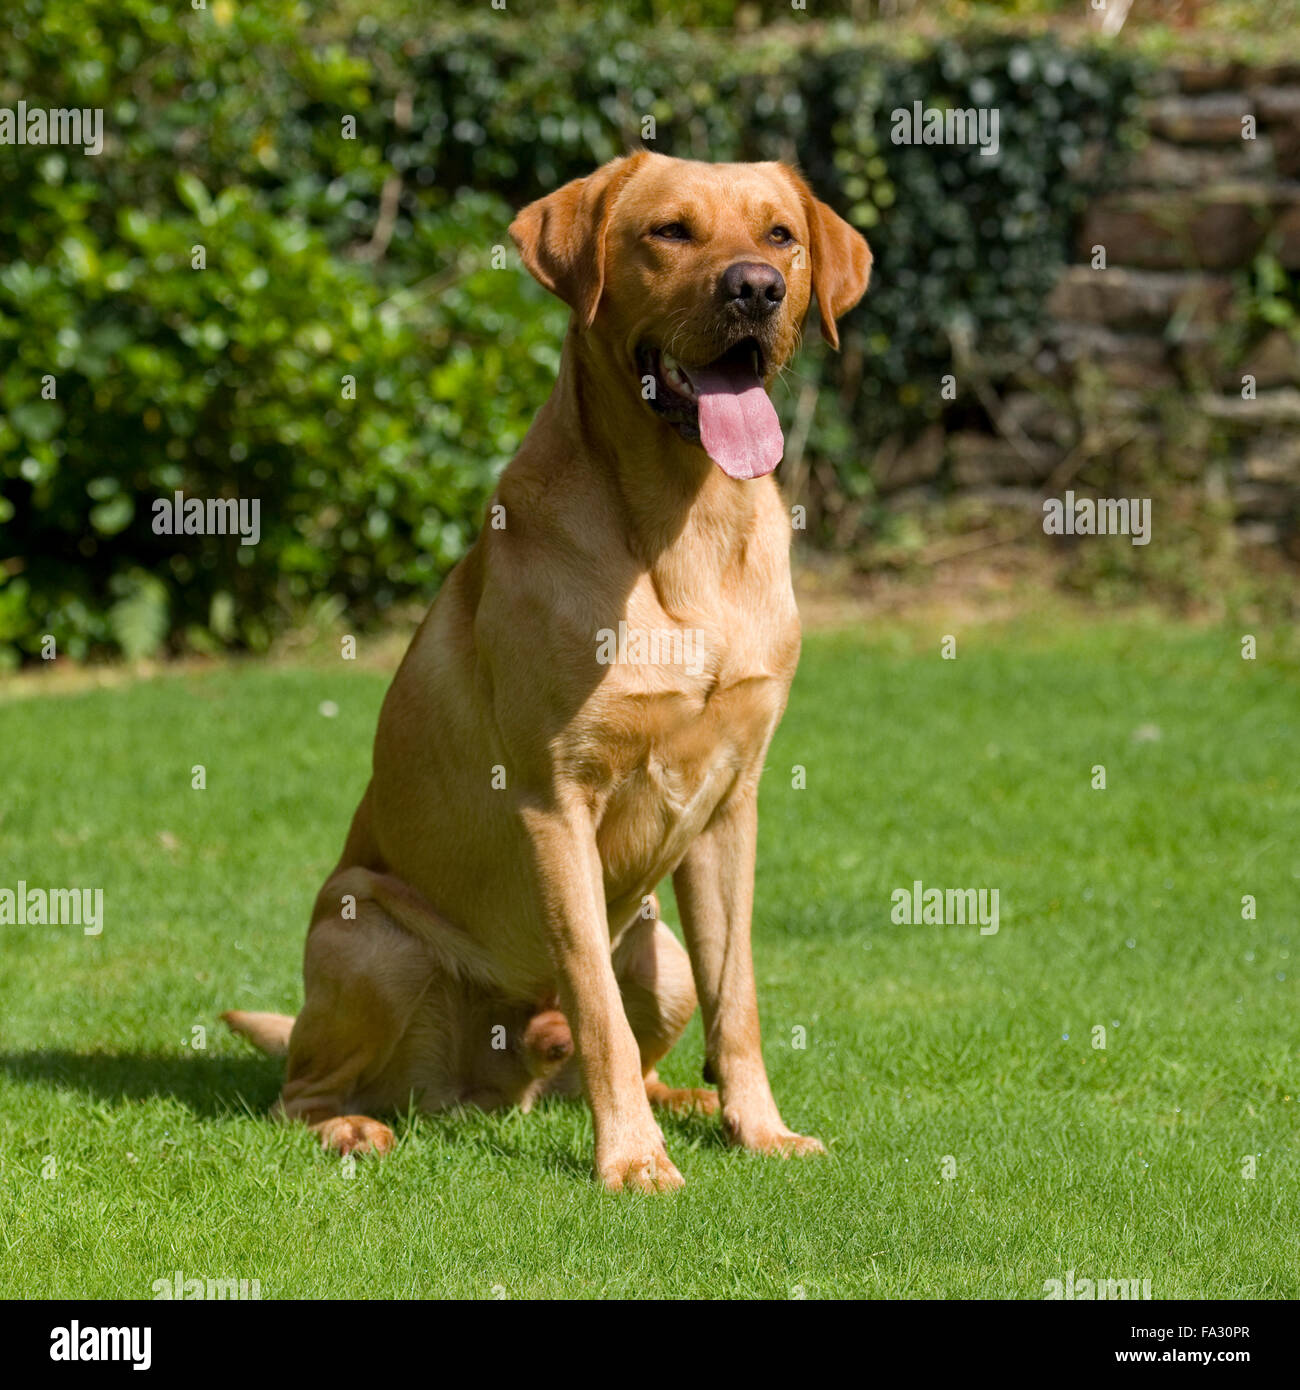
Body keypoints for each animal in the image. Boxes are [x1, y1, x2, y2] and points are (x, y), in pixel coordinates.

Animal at [226, 154, 873, 1195]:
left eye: (780, 236)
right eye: (670, 231)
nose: (757, 289)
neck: (685, 524)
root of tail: (500, 1089)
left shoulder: (732, 805)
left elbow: (739, 999)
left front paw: (759, 1130)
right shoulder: (553, 798)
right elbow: (595, 1002)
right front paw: (633, 1164)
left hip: (662, 953)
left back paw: (683, 1104)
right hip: (370, 936)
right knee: (300, 1093)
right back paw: (356, 1127)